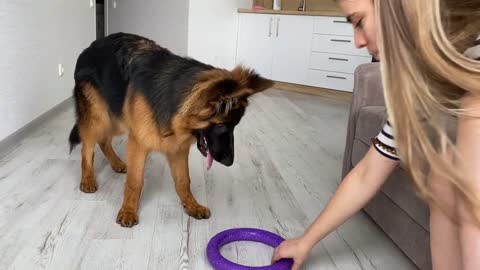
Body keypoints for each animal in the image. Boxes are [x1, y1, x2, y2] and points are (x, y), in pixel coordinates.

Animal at [70, 33, 274, 228]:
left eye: (235, 126)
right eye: (223, 126)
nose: (230, 162)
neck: (174, 101)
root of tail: (90, 47)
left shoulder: (177, 149)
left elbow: (184, 180)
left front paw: (192, 205)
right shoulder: (138, 143)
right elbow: (135, 181)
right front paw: (128, 211)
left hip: (116, 117)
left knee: (103, 140)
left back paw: (116, 163)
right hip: (99, 117)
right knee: (87, 146)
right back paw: (87, 179)